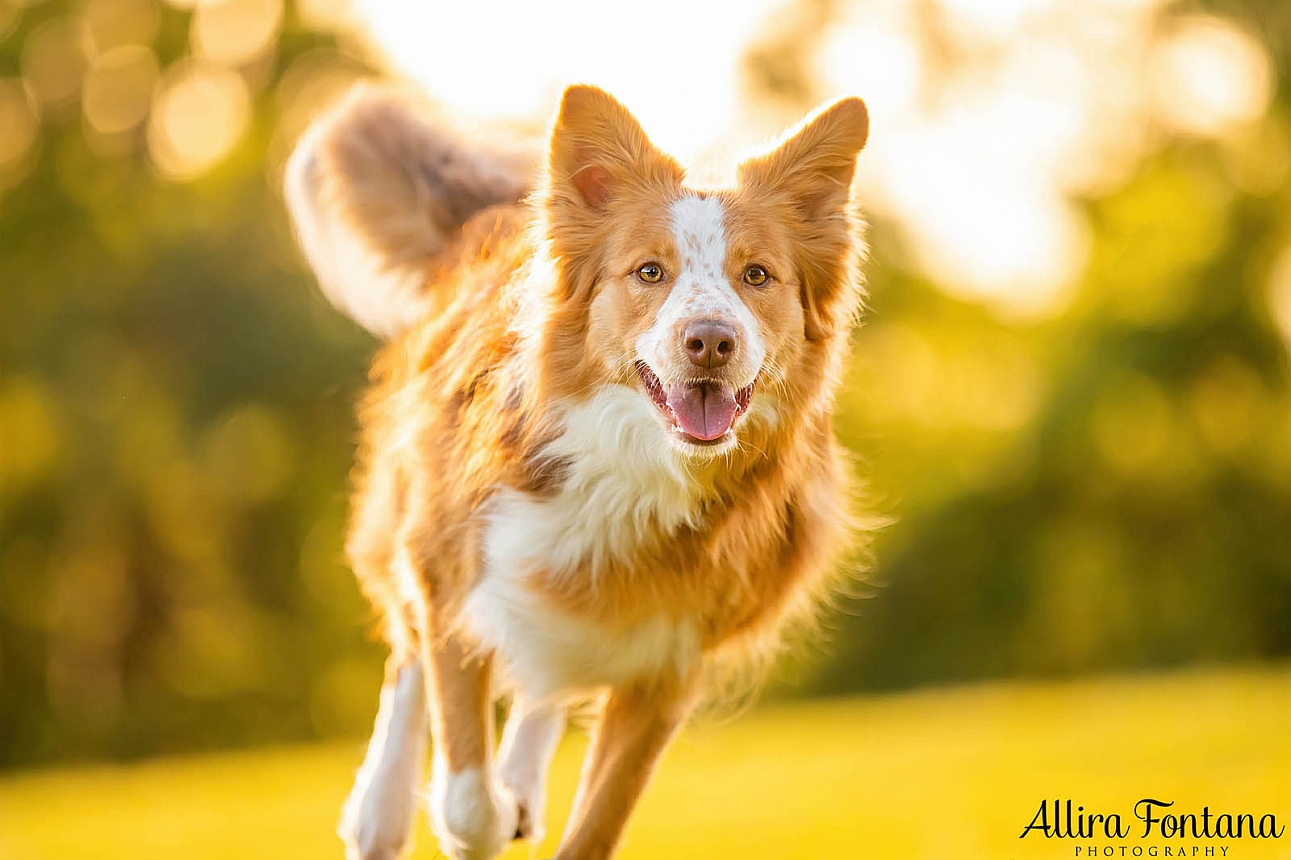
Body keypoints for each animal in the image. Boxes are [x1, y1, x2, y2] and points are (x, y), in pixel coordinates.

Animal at [282, 81, 867, 857]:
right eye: (649, 272)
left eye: (757, 276)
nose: (710, 341)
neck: (631, 468)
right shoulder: (456, 573)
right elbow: (466, 799)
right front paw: (476, 810)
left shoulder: (667, 664)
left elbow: (595, 823)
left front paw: (520, 795)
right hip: (415, 508)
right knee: (408, 650)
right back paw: (382, 807)